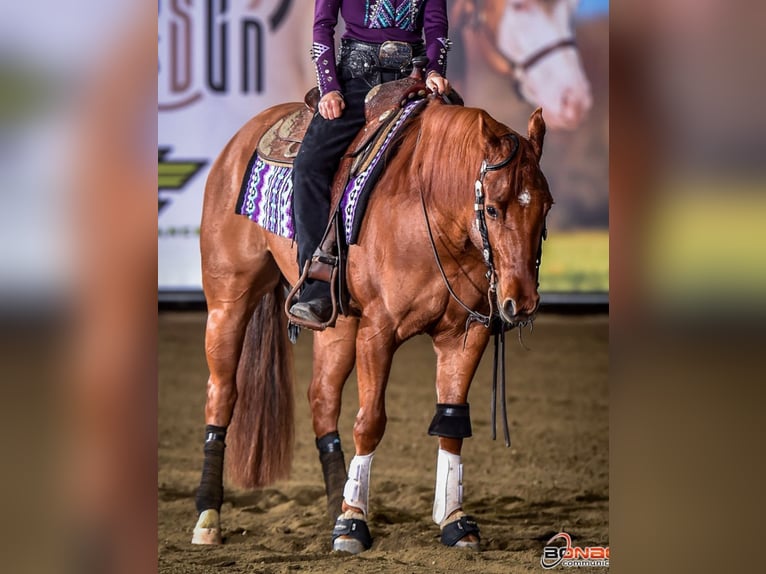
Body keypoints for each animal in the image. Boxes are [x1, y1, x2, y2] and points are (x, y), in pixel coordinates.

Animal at [190, 94, 552, 553]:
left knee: (322, 400)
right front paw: (353, 525)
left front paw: (455, 521)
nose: (521, 303)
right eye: (491, 206)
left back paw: (335, 506)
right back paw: (208, 517)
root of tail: (241, 140)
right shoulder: (378, 331)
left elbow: (452, 422)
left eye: (546, 206)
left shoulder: (466, 335)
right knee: (221, 394)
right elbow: (370, 422)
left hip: (337, 323)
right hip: (228, 301)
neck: (430, 208)